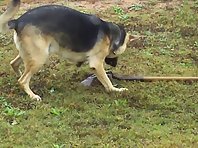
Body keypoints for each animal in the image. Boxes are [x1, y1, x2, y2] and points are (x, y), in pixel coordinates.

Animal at [0, 0, 129, 100]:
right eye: (116, 54)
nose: (115, 65)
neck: (111, 34)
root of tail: (17, 21)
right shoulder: (96, 64)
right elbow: (107, 81)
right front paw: (115, 90)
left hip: (32, 53)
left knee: (14, 64)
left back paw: (19, 76)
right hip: (39, 57)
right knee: (23, 80)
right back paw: (32, 95)